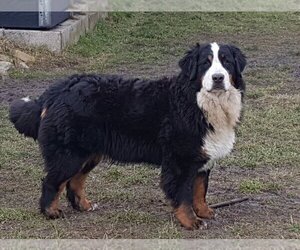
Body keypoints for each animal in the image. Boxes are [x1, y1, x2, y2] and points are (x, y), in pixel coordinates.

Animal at [8, 42, 246, 229]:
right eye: (206, 63)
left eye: (226, 62)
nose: (218, 78)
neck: (197, 102)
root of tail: (58, 89)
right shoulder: (181, 160)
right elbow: (184, 195)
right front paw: (190, 221)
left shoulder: (201, 157)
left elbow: (200, 190)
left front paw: (204, 211)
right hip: (68, 155)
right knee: (52, 182)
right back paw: (51, 212)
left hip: (88, 153)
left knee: (74, 182)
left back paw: (84, 206)